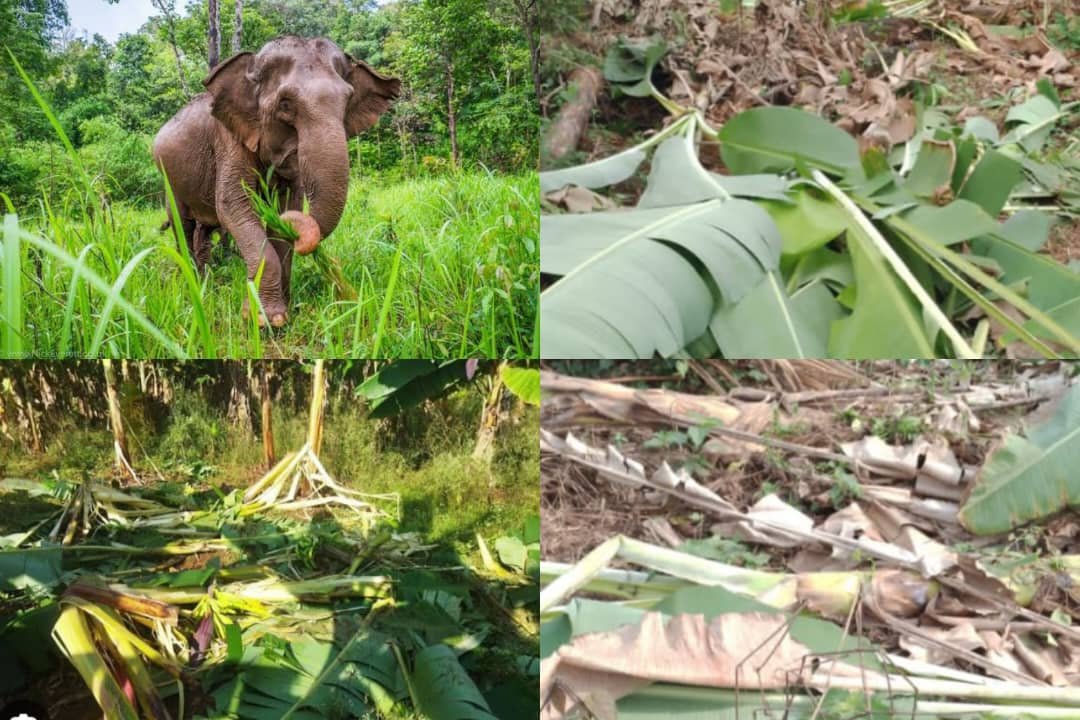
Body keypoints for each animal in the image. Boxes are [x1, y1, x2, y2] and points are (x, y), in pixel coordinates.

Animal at [153, 36, 400, 327]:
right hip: (169, 181)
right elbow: (233, 204)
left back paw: (207, 280)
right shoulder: (228, 138)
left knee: (202, 231)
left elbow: (287, 207)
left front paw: (284, 310)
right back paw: (194, 283)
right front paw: (263, 319)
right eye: (285, 104)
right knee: (183, 226)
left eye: (348, 99)